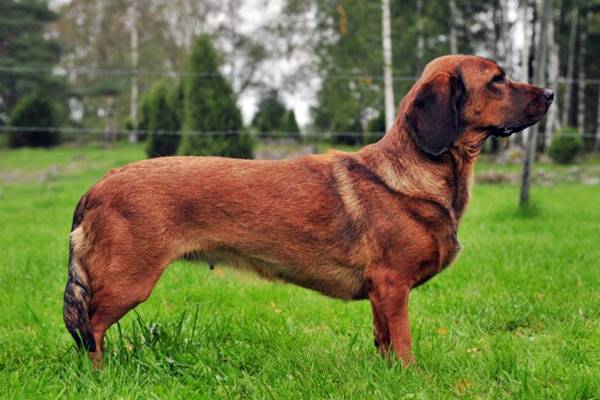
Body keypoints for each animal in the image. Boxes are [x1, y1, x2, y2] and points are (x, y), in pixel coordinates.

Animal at [63, 55, 552, 366]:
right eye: (497, 79)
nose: (549, 93)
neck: (410, 174)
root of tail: (96, 188)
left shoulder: (381, 294)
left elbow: (383, 343)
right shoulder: (393, 287)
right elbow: (404, 345)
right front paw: (412, 378)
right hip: (128, 282)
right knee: (89, 330)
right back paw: (99, 377)